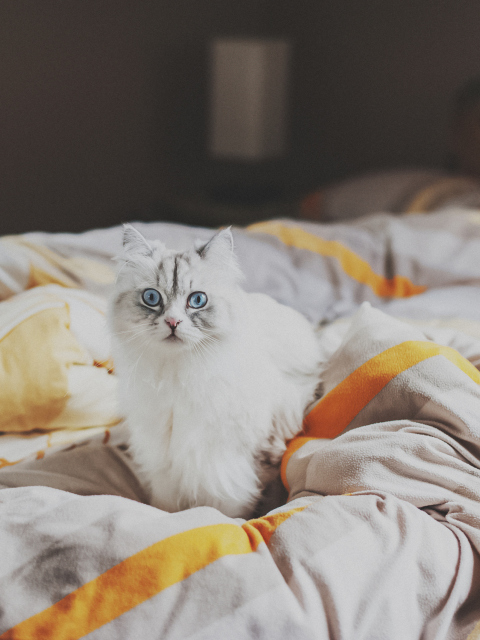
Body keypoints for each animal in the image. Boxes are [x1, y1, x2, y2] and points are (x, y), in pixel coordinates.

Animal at [110, 226, 320, 520]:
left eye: (197, 300)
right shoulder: (164, 460)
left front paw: (235, 522)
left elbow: (230, 511)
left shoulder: (226, 466)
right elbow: (164, 505)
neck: (179, 375)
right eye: (151, 298)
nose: (172, 322)